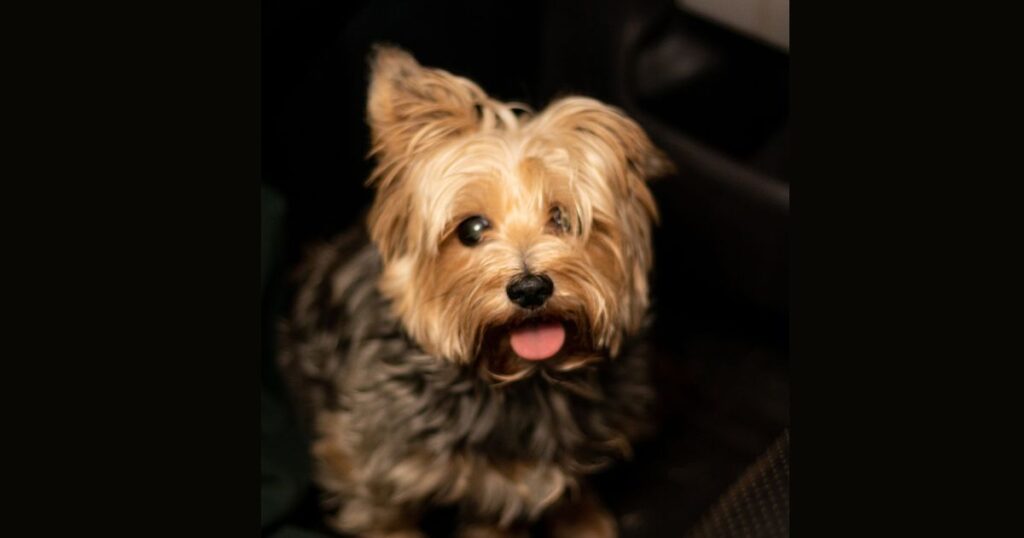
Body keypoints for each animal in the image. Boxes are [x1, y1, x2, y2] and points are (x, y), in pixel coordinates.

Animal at [280, 44, 675, 532]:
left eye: (563, 219)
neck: (525, 383)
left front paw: (584, 518)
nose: (530, 288)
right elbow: (385, 517)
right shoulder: (363, 462)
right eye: (471, 229)